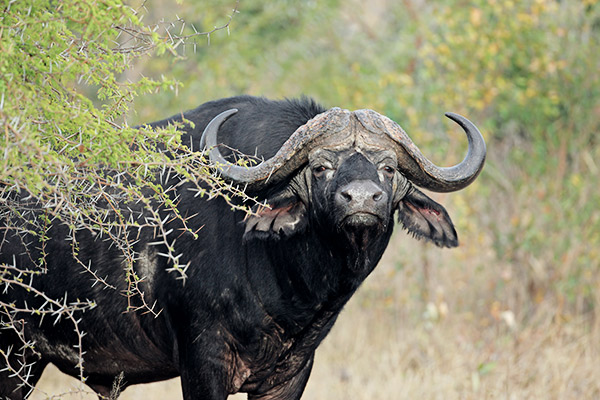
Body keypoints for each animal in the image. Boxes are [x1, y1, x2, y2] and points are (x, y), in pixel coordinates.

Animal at [0, 95, 486, 398]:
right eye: (320, 167)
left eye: (388, 168)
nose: (363, 200)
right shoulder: (203, 365)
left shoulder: (291, 376)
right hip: (14, 358)